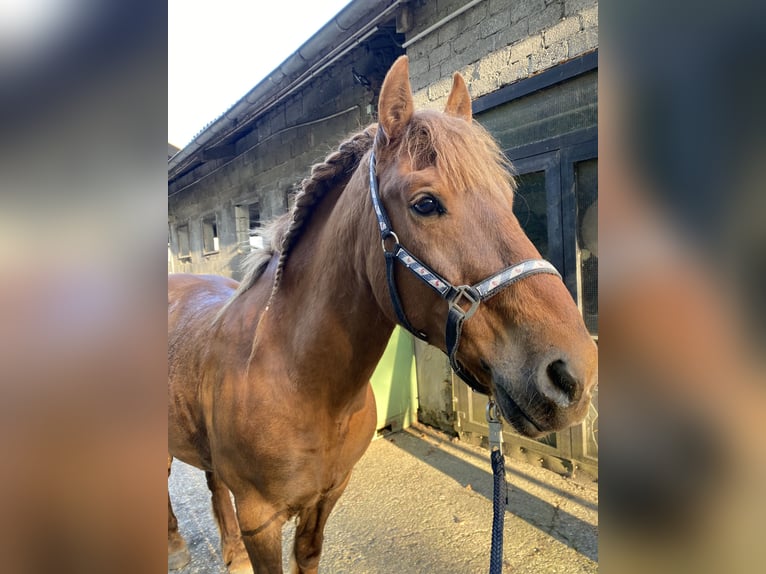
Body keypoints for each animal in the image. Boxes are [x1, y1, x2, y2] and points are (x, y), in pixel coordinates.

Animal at [168, 56, 598, 574]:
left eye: (508, 198)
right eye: (425, 203)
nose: (574, 374)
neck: (294, 381)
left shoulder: (326, 500)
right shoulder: (259, 521)